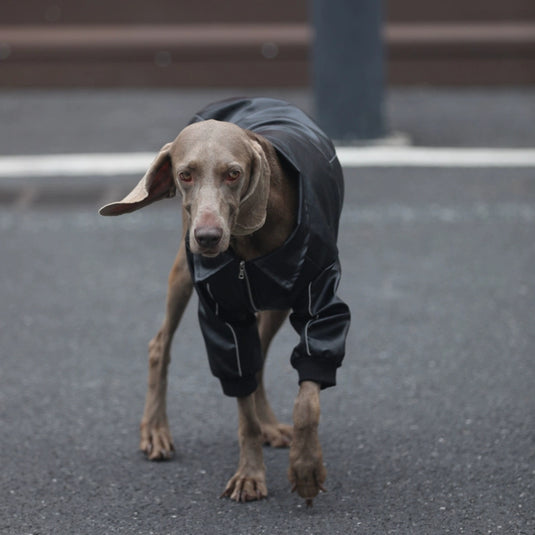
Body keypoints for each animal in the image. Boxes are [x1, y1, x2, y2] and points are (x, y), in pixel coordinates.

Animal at [100, 98, 352, 504]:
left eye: (233, 174)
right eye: (185, 175)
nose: (207, 237)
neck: (251, 243)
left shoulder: (321, 298)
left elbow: (308, 396)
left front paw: (306, 466)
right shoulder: (223, 316)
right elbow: (242, 399)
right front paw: (250, 475)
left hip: (277, 301)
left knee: (260, 355)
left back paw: (270, 425)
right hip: (184, 273)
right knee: (160, 345)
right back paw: (156, 429)